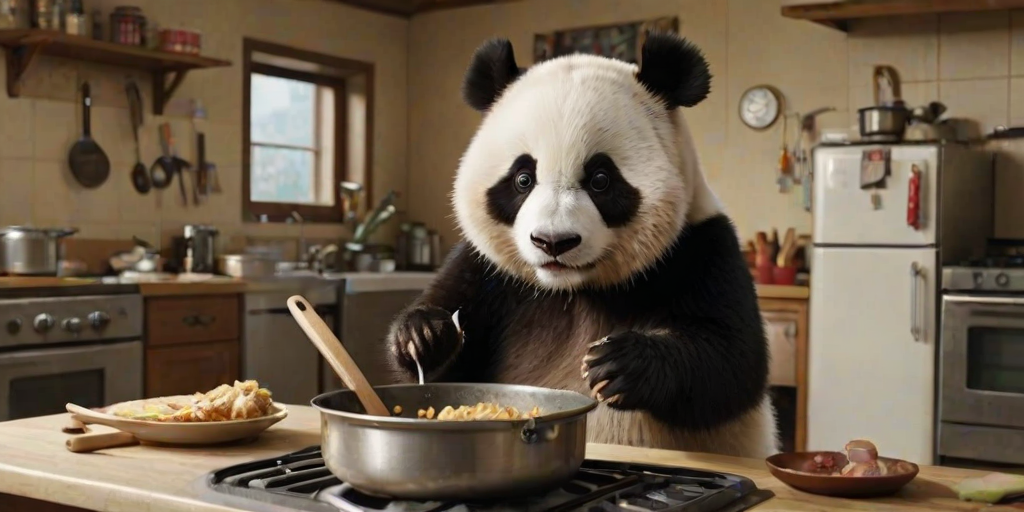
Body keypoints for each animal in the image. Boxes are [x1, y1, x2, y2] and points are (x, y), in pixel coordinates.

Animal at [386, 32, 779, 459]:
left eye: (601, 179)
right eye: (523, 178)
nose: (552, 241)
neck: (573, 290)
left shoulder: (701, 248)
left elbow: (733, 364)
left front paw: (621, 363)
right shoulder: (488, 270)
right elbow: (446, 380)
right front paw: (424, 336)